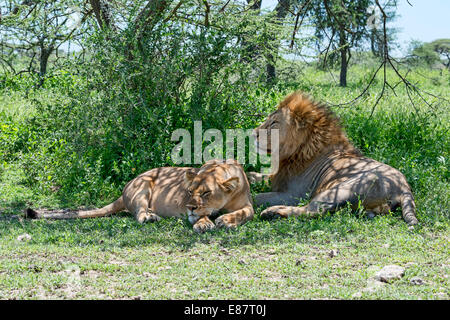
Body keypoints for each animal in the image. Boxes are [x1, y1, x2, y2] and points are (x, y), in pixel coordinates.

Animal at [26, 159, 255, 232]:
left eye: (207, 192)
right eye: (189, 192)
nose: (189, 207)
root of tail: (123, 190)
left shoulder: (248, 205)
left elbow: (245, 213)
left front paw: (227, 220)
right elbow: (202, 215)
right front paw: (204, 223)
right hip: (143, 185)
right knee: (139, 214)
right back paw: (150, 216)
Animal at [253, 90, 418, 226]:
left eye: (274, 122)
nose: (253, 133)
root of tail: (404, 188)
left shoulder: (293, 194)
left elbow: (258, 197)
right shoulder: (278, 177)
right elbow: (257, 176)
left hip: (340, 190)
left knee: (313, 210)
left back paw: (272, 212)